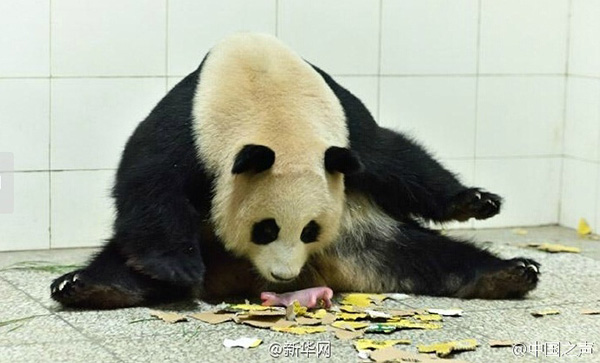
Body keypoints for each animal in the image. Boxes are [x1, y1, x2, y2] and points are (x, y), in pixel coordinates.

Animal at [50, 33, 540, 310]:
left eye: (309, 230)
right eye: (265, 229)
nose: (283, 278)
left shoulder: (347, 125)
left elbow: (398, 160)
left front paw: (477, 200)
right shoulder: (188, 125)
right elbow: (151, 184)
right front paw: (176, 267)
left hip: (361, 234)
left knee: (425, 254)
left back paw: (510, 273)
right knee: (120, 261)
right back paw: (87, 287)